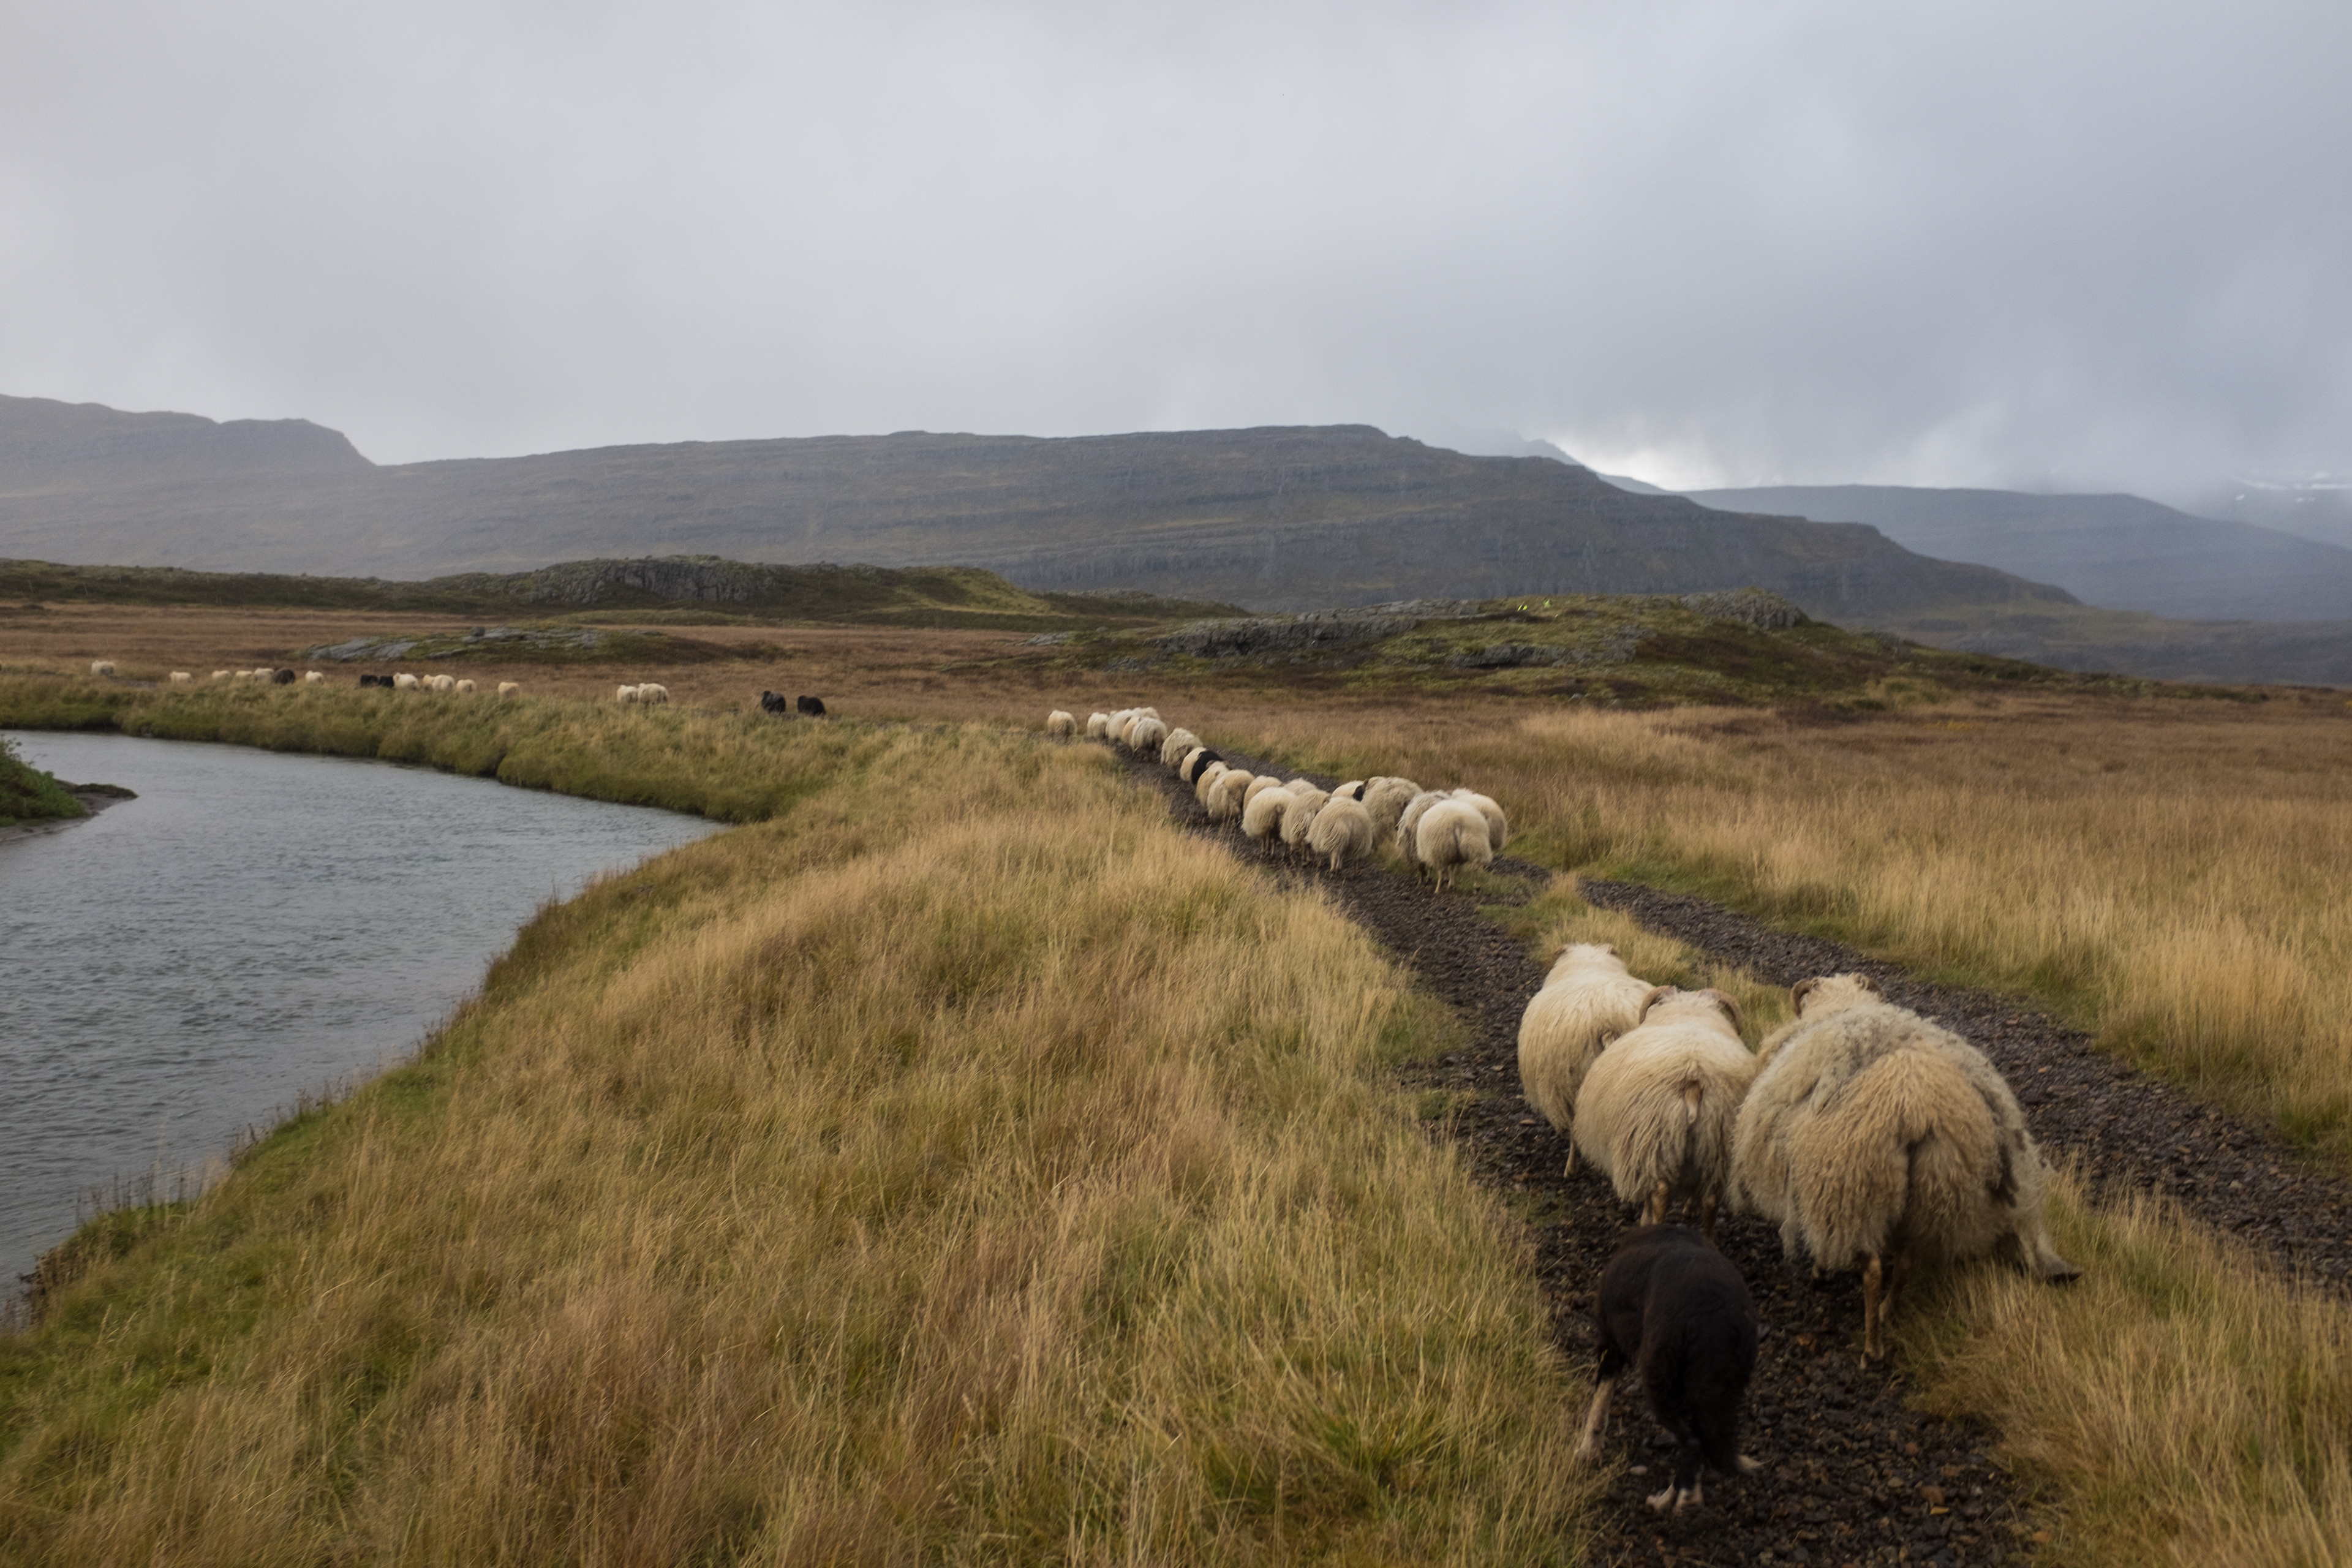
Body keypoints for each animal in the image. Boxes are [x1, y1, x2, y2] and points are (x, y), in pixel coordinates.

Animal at [1414, 798, 1494, 893]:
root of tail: (1457, 821)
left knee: (1442, 870)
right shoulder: (1454, 854)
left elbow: (1448, 869)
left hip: (1441, 849)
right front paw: (1451, 885)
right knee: (1475, 866)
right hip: (1475, 843)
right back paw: (1476, 888)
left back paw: (1438, 889)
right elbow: (1452, 868)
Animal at [1572, 987, 1758, 1240]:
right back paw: (1706, 1236)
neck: (1690, 1011)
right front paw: (1690, 1208)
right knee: (1712, 1197)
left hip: (1652, 1141)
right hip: (1720, 1139)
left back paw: (1651, 1225)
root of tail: (1694, 1078)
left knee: (1660, 1192)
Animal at [1574, 1224, 1761, 1512]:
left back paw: (1683, 1499)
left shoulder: (1610, 1346)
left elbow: (1599, 1405)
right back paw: (1672, 1498)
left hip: (1659, 1379)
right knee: (1699, 1441)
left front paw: (1587, 1450)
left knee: (1692, 1442)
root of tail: (1711, 1316)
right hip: (1717, 1388)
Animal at [1732, 974, 2080, 1361]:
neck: (1845, 1005)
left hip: (1857, 1186)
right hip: (1936, 1188)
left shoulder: (1824, 1187)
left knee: (1872, 1270)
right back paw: (1887, 1311)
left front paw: (1821, 1269)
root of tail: (1914, 1106)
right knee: (1906, 1263)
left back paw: (1872, 1346)